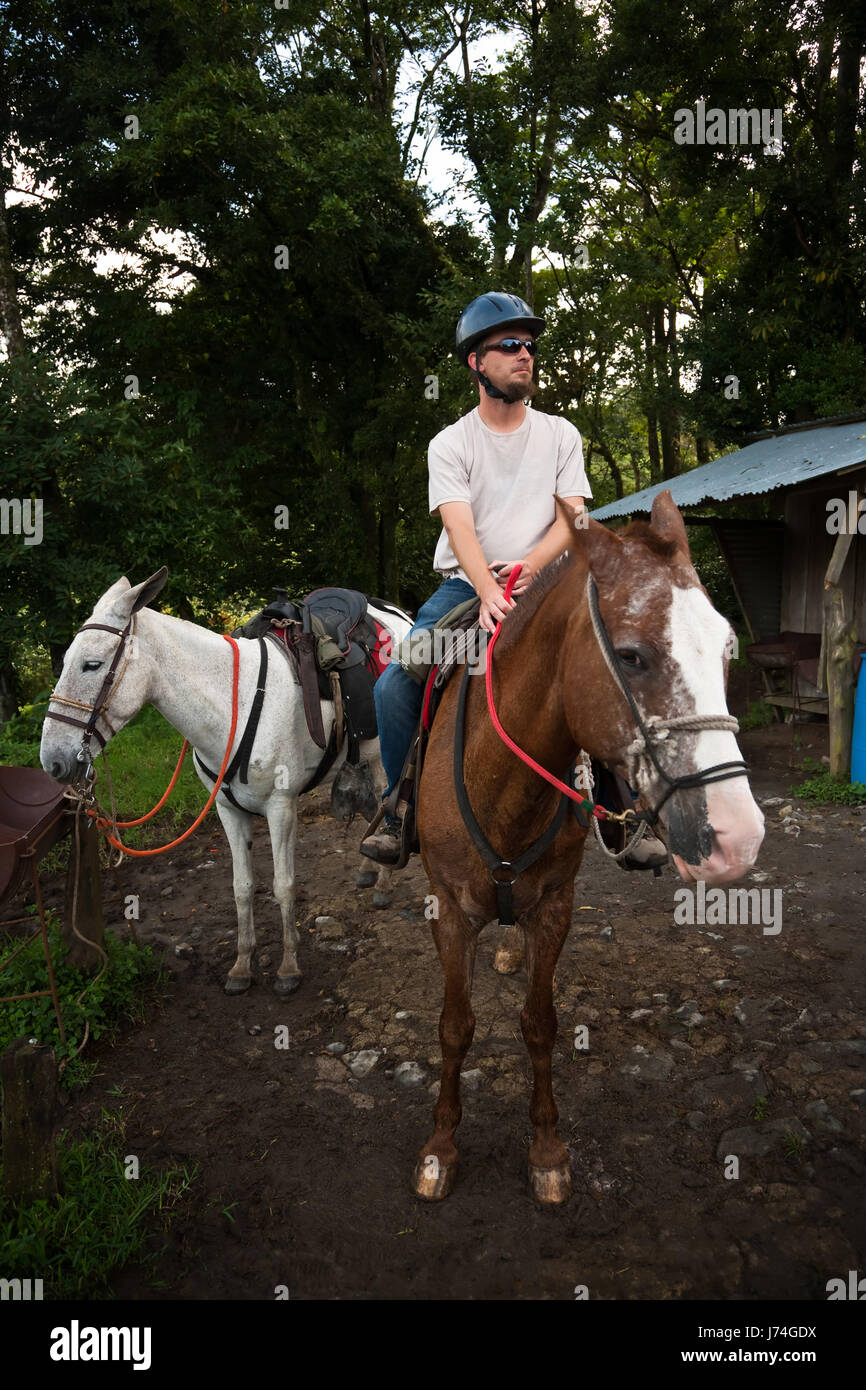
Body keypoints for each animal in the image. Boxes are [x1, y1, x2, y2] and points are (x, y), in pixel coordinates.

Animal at [42, 569, 414, 995]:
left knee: (391, 804)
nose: (52, 760)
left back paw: (383, 881)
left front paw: (288, 967)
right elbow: (242, 887)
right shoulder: (227, 810)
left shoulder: (280, 808)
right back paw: (370, 869)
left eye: (91, 664)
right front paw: (241, 965)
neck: (233, 703)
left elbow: (284, 885)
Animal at [414, 494, 767, 1200]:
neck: (501, 784)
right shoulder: (450, 909)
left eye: (725, 647)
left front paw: (547, 1150)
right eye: (630, 656)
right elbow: (455, 1027)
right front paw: (441, 1148)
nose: (737, 837)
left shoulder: (554, 907)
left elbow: (540, 1024)